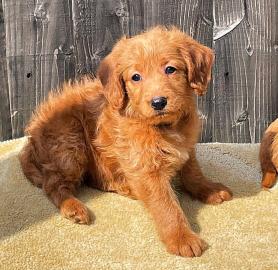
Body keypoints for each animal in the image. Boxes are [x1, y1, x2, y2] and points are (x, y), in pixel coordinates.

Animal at [19, 26, 232, 258]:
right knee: (52, 183)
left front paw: (209, 189)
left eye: (170, 69)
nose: (158, 102)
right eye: (136, 77)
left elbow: (193, 174)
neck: (164, 126)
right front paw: (181, 237)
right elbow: (166, 205)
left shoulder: (187, 149)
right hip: (69, 144)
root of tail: (32, 140)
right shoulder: (146, 167)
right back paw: (74, 207)